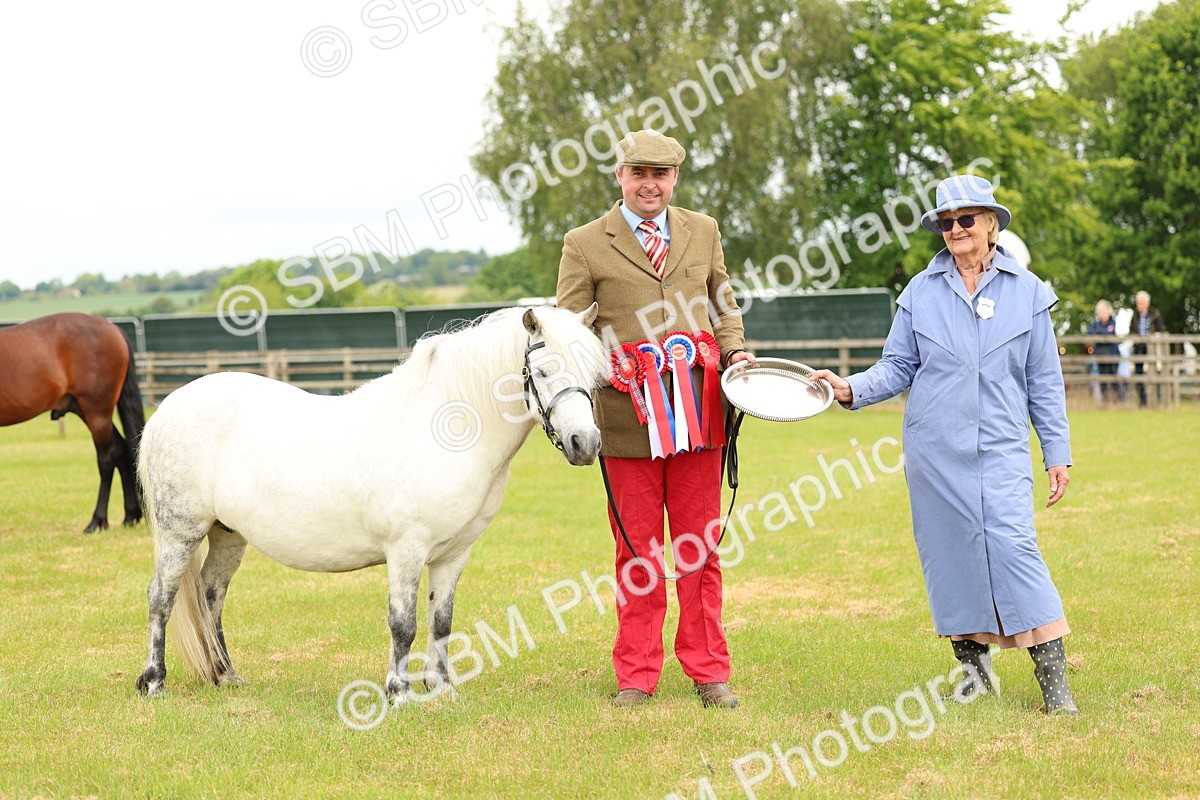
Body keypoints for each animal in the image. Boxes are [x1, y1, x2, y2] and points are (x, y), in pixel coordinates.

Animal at [0, 312, 144, 532]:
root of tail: (113, 329)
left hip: (97, 412)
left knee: (107, 458)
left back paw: (97, 521)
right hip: (87, 411)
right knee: (121, 451)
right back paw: (130, 516)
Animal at [135, 303, 606, 703]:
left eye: (594, 371)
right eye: (543, 370)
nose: (585, 443)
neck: (443, 432)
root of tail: (168, 408)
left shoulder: (453, 554)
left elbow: (441, 621)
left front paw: (442, 690)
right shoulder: (406, 550)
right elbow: (403, 624)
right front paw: (398, 693)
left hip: (228, 534)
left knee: (212, 596)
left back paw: (226, 675)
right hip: (181, 533)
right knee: (161, 597)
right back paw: (154, 682)